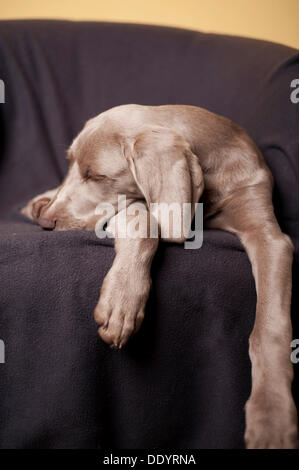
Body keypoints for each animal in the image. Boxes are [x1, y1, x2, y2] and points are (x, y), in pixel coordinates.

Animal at [21, 104, 299, 450]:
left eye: (97, 176)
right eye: (70, 164)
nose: (47, 221)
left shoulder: (269, 235)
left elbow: (269, 328)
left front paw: (271, 415)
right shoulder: (133, 207)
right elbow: (144, 219)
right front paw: (121, 304)